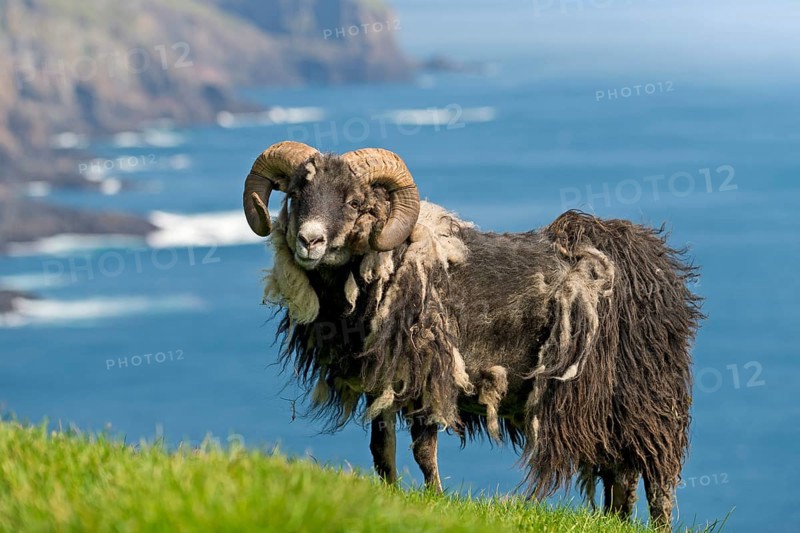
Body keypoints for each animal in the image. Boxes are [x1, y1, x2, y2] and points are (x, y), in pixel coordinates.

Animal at [242, 141, 703, 528]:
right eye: (296, 195)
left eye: (355, 202)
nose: (310, 241)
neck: (393, 262)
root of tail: (654, 263)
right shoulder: (383, 379)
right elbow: (382, 449)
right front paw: (389, 495)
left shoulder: (429, 375)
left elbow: (423, 451)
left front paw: (435, 500)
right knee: (621, 473)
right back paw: (614, 522)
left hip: (646, 396)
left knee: (654, 475)